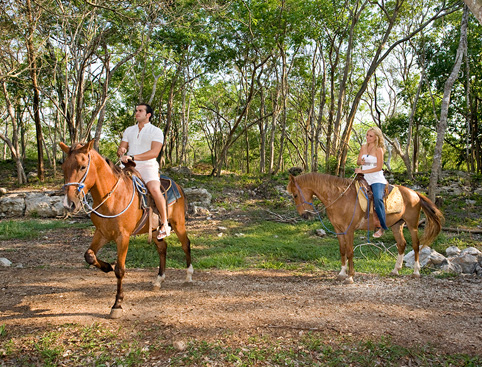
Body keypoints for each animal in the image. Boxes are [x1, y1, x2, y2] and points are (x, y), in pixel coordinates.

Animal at [61, 141, 193, 320]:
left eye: (82, 167)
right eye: (63, 167)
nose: (69, 204)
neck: (112, 197)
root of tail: (177, 185)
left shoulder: (122, 237)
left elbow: (120, 269)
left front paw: (117, 304)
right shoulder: (102, 233)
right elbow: (89, 255)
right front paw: (106, 267)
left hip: (178, 223)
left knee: (186, 244)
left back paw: (189, 275)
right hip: (154, 230)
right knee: (162, 248)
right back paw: (158, 280)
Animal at [286, 173, 444, 284]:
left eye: (295, 195)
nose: (304, 215)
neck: (340, 198)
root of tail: (414, 193)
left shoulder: (349, 230)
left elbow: (350, 251)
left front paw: (350, 276)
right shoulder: (339, 230)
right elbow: (342, 250)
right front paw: (342, 273)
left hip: (412, 225)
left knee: (416, 245)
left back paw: (416, 272)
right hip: (396, 225)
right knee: (401, 244)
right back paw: (395, 270)